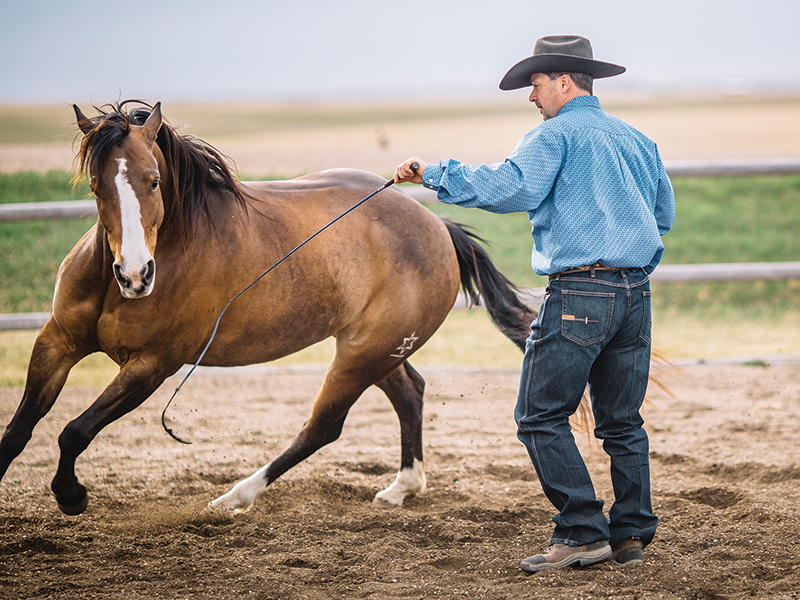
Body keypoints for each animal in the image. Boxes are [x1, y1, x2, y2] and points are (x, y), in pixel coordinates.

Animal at [0, 100, 537, 516]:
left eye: (153, 182)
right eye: (96, 186)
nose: (135, 275)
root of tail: (437, 226)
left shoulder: (151, 366)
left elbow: (74, 431)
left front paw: (71, 495)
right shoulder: (57, 341)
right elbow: (19, 429)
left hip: (363, 354)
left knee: (323, 427)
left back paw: (233, 499)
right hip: (375, 348)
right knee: (409, 392)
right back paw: (400, 488)